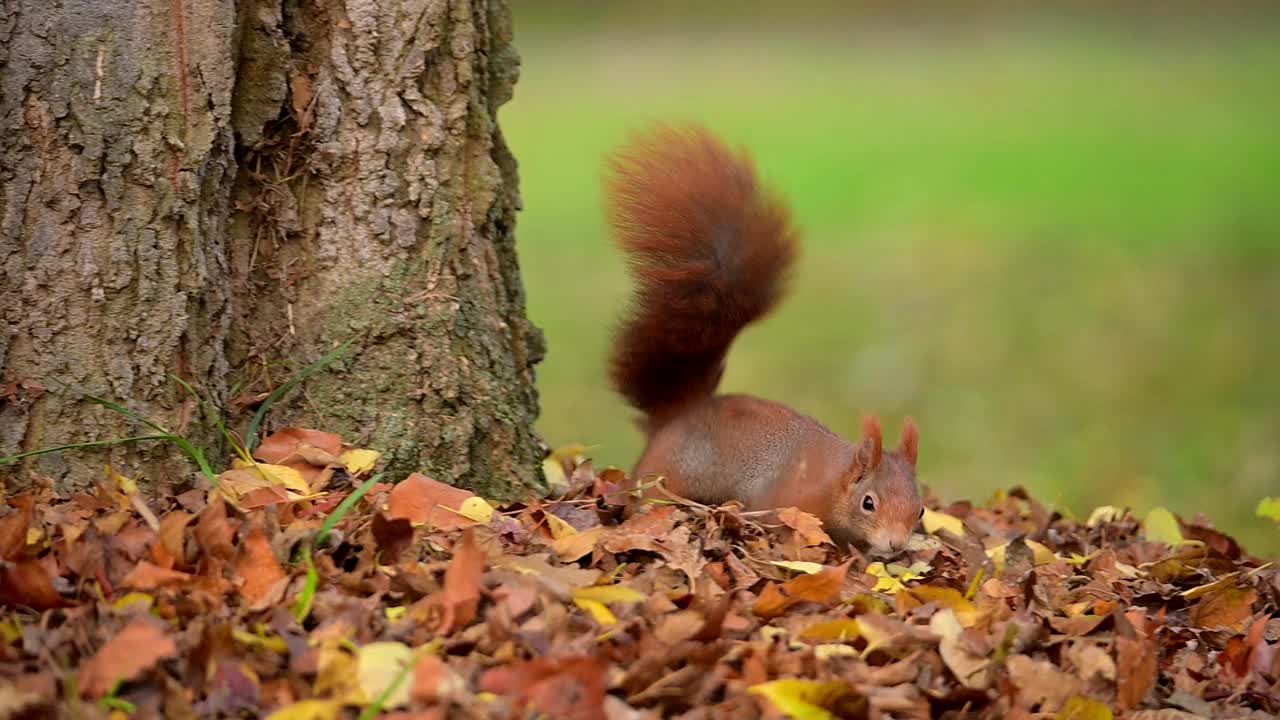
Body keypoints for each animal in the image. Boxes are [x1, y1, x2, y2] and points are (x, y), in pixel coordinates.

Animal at [604, 124, 926, 556]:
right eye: (869, 502)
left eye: (920, 509)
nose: (895, 545)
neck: (832, 480)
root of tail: (678, 412)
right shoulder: (785, 500)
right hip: (666, 474)